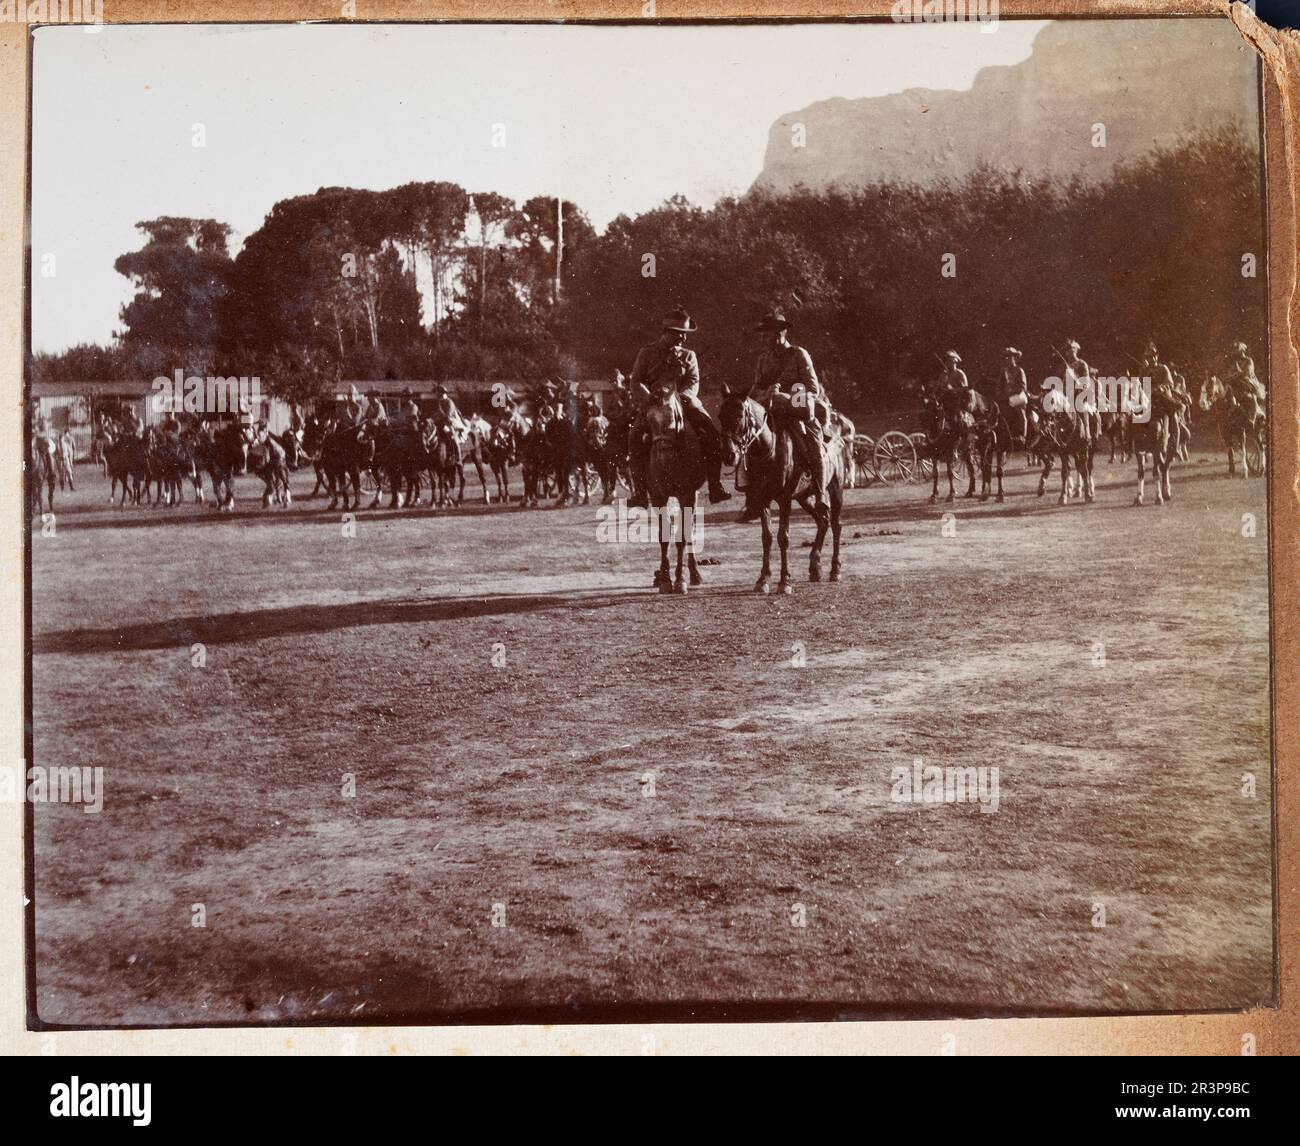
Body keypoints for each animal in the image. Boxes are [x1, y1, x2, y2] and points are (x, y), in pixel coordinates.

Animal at [717, 389, 847, 595]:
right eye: (720, 416)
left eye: (738, 416)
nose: (729, 455)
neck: (768, 449)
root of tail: (838, 437)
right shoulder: (762, 499)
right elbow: (767, 537)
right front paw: (763, 579)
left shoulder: (785, 499)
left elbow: (783, 537)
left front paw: (784, 581)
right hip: (804, 497)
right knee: (823, 521)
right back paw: (815, 567)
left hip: (835, 490)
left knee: (836, 525)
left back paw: (835, 570)